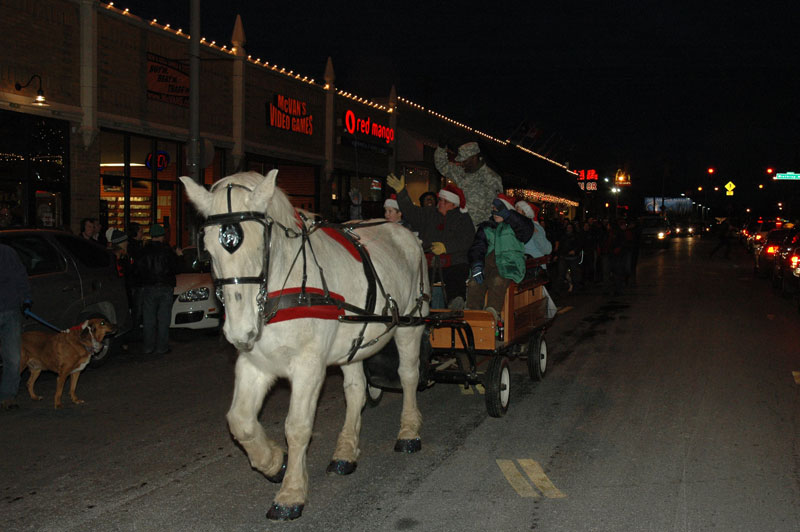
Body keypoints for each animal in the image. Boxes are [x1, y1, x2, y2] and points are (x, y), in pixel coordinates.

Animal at [182, 171, 432, 520]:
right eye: (207, 251)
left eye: (261, 246)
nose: (240, 331)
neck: (278, 292)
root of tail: (404, 231)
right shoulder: (254, 363)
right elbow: (240, 421)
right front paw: (273, 462)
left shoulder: (308, 366)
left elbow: (298, 426)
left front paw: (291, 494)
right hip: (354, 339)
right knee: (356, 390)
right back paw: (345, 452)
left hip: (412, 322)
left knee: (408, 375)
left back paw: (409, 431)